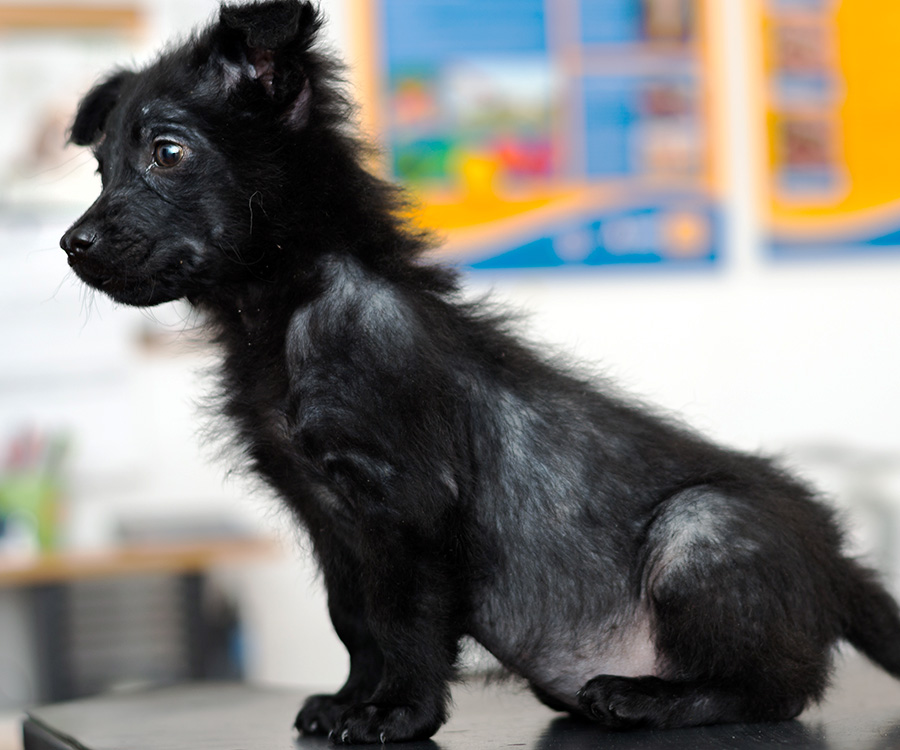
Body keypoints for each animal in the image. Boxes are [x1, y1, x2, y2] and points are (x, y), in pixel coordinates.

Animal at [59, 0, 900, 748]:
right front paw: (350, 701)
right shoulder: (328, 519)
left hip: (701, 527)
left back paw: (646, 699)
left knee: (777, 690)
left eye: (168, 152)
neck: (287, 315)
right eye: (100, 166)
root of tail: (838, 563)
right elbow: (356, 621)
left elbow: (405, 621)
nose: (72, 244)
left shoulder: (406, 503)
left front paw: (398, 712)